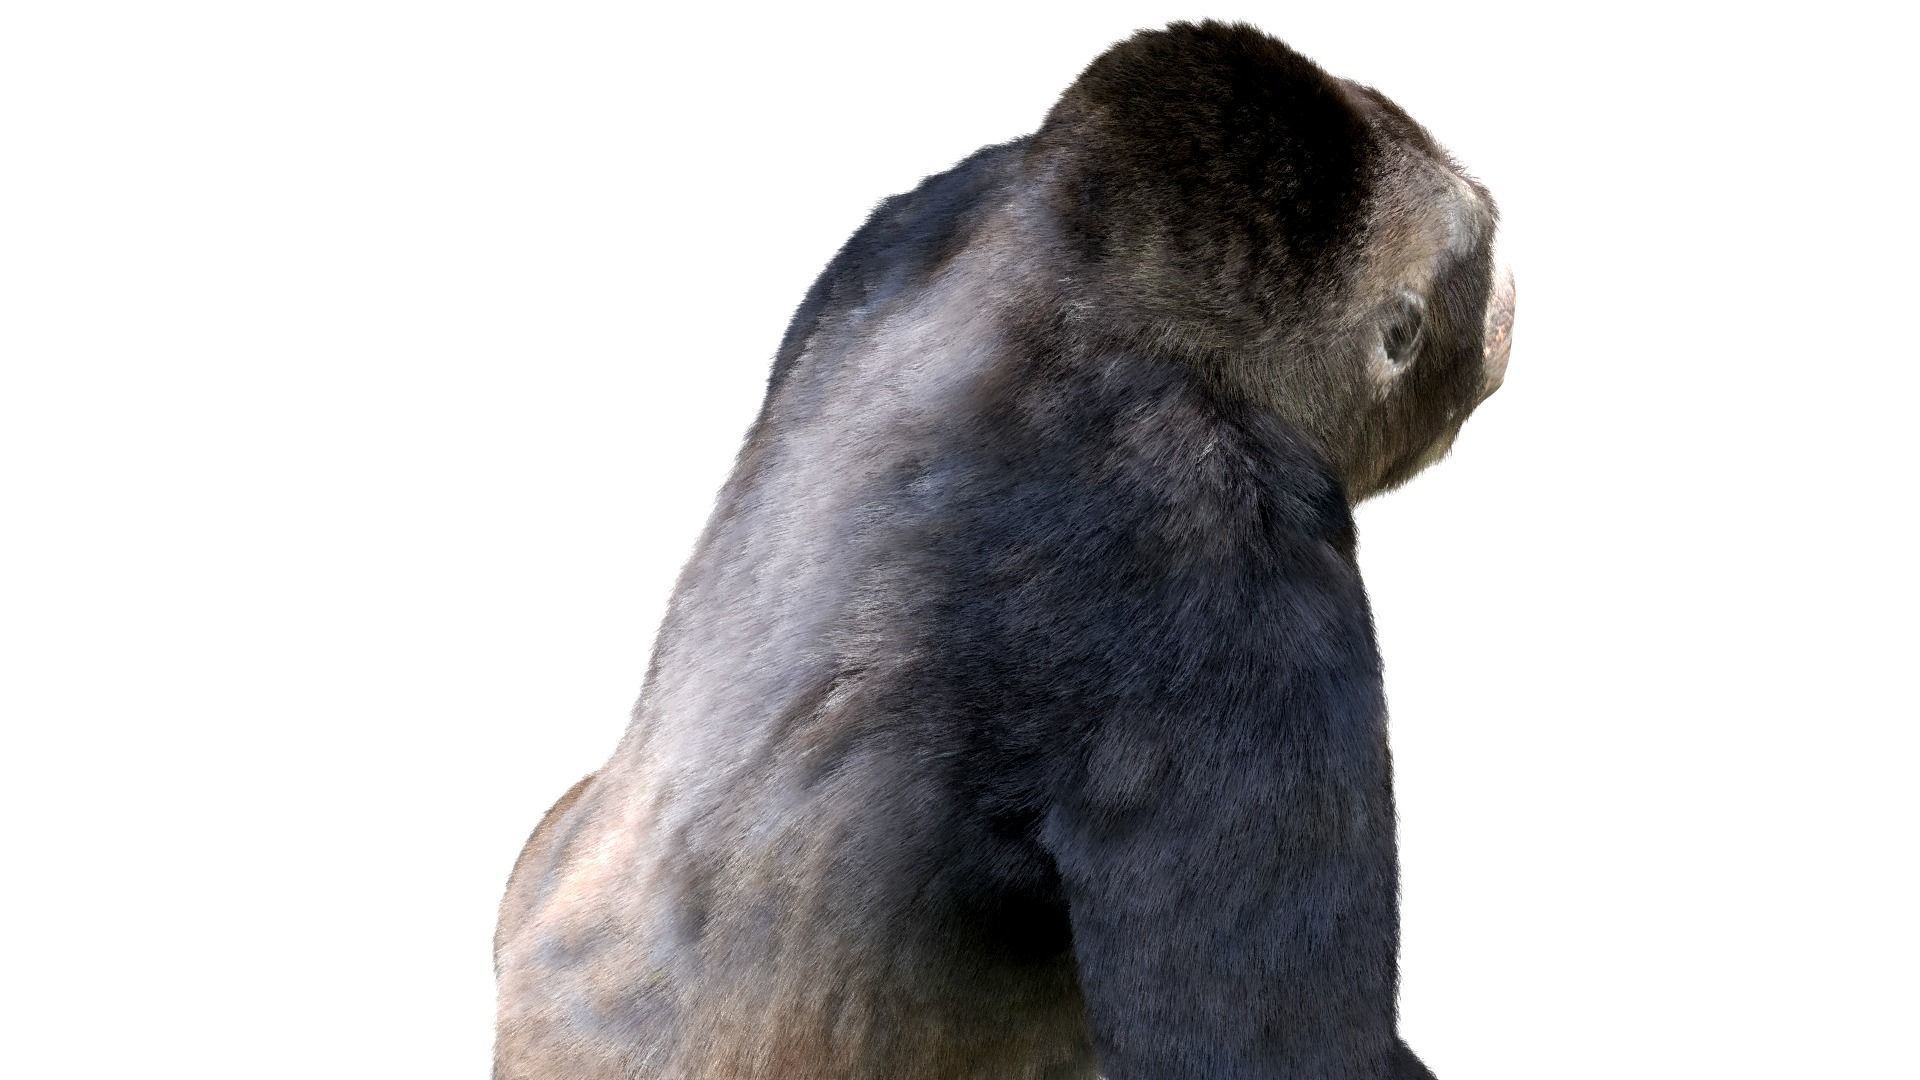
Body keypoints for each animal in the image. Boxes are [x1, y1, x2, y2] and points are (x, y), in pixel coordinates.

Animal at [494, 20, 1515, 1080]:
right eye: (1476, 251)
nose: (1511, 294)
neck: (1090, 290)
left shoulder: (923, 210)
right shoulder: (1230, 568)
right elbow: (1249, 1049)